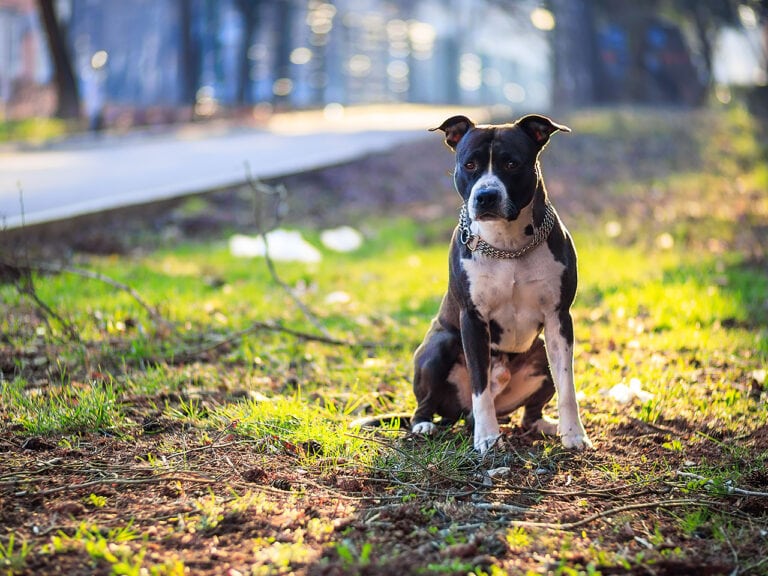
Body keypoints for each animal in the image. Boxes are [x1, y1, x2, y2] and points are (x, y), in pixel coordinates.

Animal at [412, 113, 592, 454]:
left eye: (511, 163)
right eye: (469, 165)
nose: (486, 195)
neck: (508, 246)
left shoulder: (559, 319)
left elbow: (567, 384)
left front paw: (574, 434)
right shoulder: (472, 320)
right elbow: (480, 387)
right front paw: (486, 438)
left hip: (540, 354)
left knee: (530, 412)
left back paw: (545, 425)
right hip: (438, 345)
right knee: (429, 402)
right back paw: (425, 425)